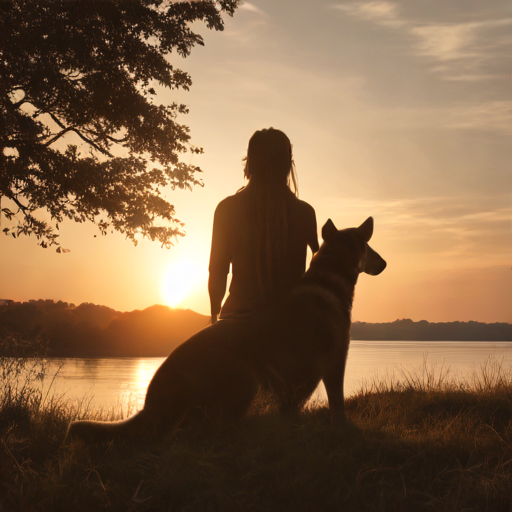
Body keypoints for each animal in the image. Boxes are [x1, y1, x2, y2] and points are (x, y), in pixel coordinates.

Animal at [69, 218, 388, 442]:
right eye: (370, 246)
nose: (384, 263)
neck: (329, 276)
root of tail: (151, 404)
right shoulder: (334, 362)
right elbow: (338, 407)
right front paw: (344, 431)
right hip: (246, 378)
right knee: (204, 433)